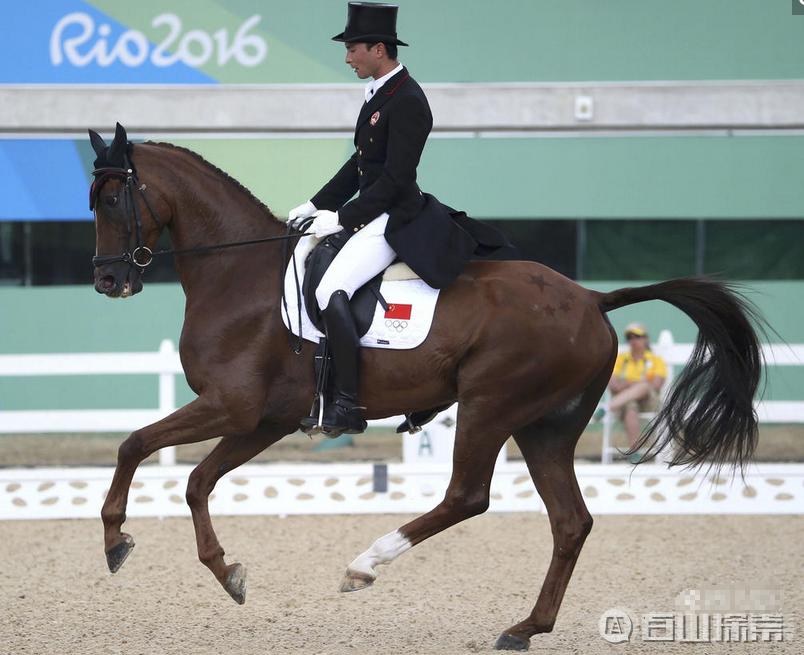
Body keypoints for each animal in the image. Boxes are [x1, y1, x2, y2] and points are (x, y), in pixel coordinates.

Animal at [88, 123, 768, 652]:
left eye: (115, 197)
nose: (108, 281)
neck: (237, 274)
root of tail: (592, 298)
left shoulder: (231, 407)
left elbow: (133, 444)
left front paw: (116, 538)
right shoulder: (263, 419)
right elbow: (197, 481)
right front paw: (225, 571)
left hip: (490, 405)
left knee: (467, 496)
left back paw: (365, 565)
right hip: (545, 425)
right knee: (570, 522)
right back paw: (524, 628)